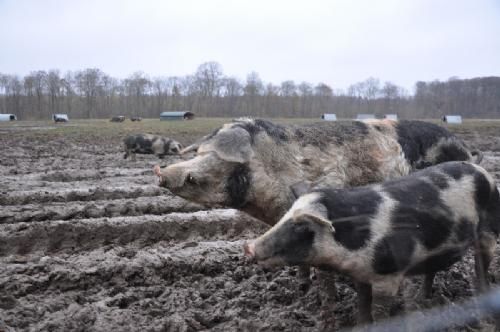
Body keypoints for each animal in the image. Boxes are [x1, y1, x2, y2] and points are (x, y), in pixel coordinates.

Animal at [244, 162, 498, 326]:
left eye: (301, 226)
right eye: (285, 216)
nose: (249, 247)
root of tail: (484, 172)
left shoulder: (388, 275)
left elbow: (378, 311)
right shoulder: (361, 274)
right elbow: (363, 306)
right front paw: (360, 324)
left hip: (489, 233)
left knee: (481, 268)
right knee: (431, 271)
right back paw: (422, 300)